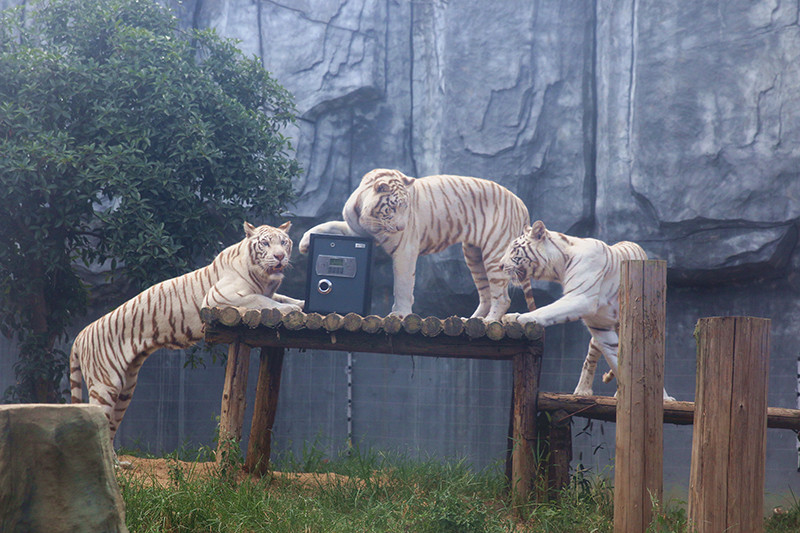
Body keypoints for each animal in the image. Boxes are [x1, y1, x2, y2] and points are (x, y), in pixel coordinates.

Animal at [69, 220, 304, 444]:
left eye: (283, 242)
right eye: (265, 243)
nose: (280, 256)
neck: (264, 278)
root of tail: (81, 334)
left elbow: (283, 298)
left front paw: (302, 304)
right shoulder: (220, 297)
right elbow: (263, 300)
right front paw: (290, 310)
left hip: (126, 388)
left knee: (110, 428)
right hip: (105, 385)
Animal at [300, 168, 536, 320]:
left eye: (406, 207)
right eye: (392, 207)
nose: (401, 227)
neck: (371, 220)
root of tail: (521, 203)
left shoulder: (405, 250)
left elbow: (403, 284)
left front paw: (401, 313)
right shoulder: (356, 230)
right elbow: (330, 225)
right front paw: (304, 242)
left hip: (494, 253)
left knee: (502, 297)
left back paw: (489, 322)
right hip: (474, 254)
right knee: (486, 294)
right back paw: (471, 320)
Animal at [500, 219, 676, 400]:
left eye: (514, 249)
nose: (500, 265)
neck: (559, 266)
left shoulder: (581, 298)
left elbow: (547, 310)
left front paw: (519, 317)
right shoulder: (599, 326)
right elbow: (616, 359)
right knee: (590, 359)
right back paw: (583, 390)